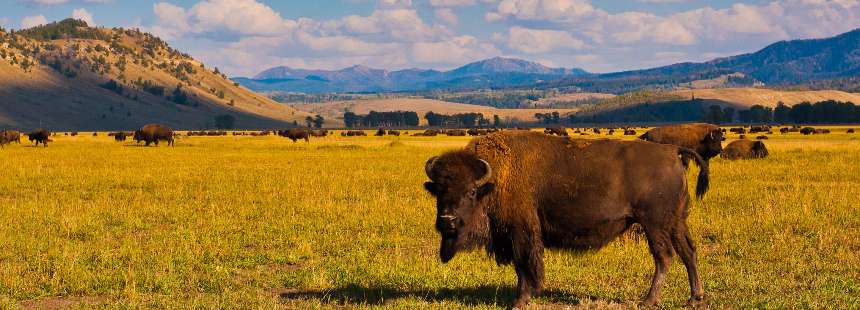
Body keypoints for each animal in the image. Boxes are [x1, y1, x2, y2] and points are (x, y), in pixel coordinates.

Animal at [424, 131, 712, 308]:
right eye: (438, 190)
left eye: (471, 192)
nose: (448, 220)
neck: (494, 179)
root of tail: (672, 151)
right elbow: (522, 266)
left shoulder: (521, 232)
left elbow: (524, 264)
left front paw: (521, 300)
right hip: (676, 222)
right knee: (688, 252)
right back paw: (694, 298)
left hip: (655, 224)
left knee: (665, 256)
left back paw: (648, 300)